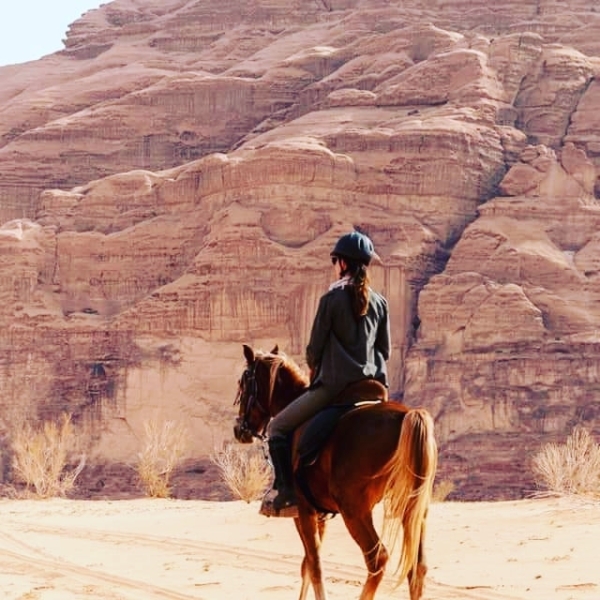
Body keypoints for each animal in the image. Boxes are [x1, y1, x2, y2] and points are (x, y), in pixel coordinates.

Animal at [233, 342, 436, 600]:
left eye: (243, 382)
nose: (239, 430)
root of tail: (405, 415)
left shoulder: (304, 513)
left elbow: (314, 564)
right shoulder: (320, 515)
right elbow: (307, 566)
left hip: (355, 511)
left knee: (377, 558)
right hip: (413, 508)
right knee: (417, 568)